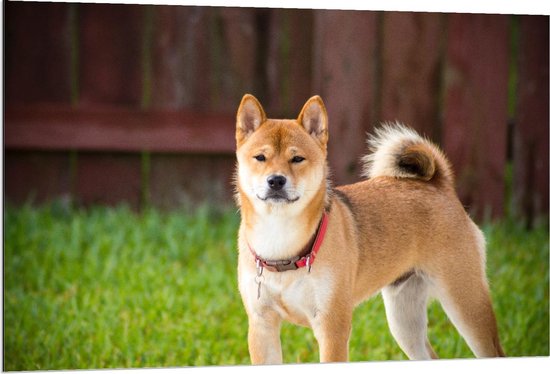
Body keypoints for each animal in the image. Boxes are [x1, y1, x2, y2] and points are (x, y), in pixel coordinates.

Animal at [233, 94, 504, 366]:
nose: (276, 180)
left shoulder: (332, 327)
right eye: (260, 158)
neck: (281, 243)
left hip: (466, 303)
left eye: (297, 159)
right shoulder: (262, 326)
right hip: (404, 318)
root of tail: (439, 185)